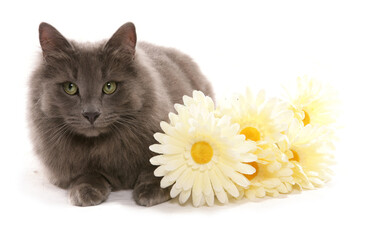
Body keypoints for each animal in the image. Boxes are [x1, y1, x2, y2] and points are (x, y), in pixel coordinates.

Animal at [29, 22, 216, 206]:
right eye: (70, 87)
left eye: (109, 87)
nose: (91, 113)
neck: (103, 144)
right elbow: (87, 175)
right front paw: (85, 191)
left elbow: (159, 169)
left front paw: (149, 191)